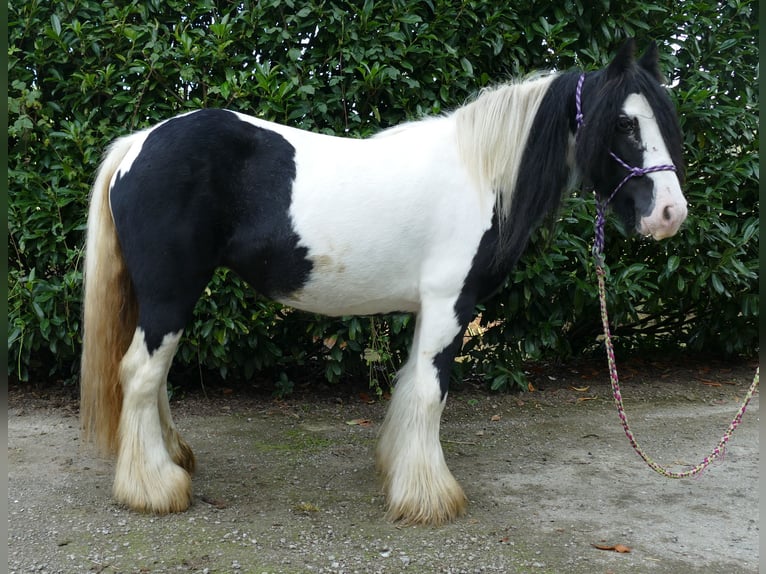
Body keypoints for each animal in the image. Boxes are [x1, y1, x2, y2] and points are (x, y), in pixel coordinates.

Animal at [79, 39, 688, 528]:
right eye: (625, 124)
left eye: (666, 120)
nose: (670, 213)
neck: (480, 174)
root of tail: (138, 144)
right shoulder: (450, 305)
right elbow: (431, 392)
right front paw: (430, 497)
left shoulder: (430, 308)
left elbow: (410, 386)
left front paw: (403, 474)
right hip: (171, 293)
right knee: (139, 374)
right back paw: (155, 487)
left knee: (153, 377)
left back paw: (173, 457)